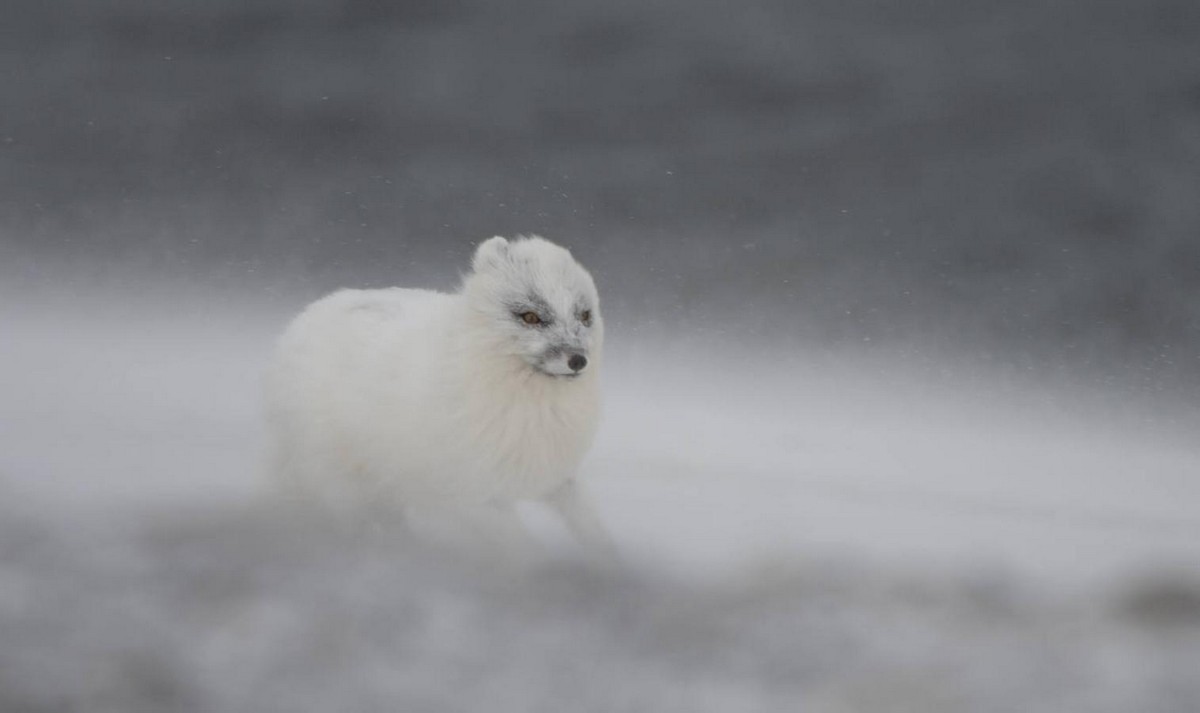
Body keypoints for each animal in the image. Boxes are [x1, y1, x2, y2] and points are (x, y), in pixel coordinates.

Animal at [266, 236, 614, 556]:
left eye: (584, 316)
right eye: (530, 317)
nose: (578, 361)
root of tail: (303, 318)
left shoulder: (559, 478)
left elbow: (593, 528)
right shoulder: (474, 498)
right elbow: (526, 551)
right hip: (341, 485)